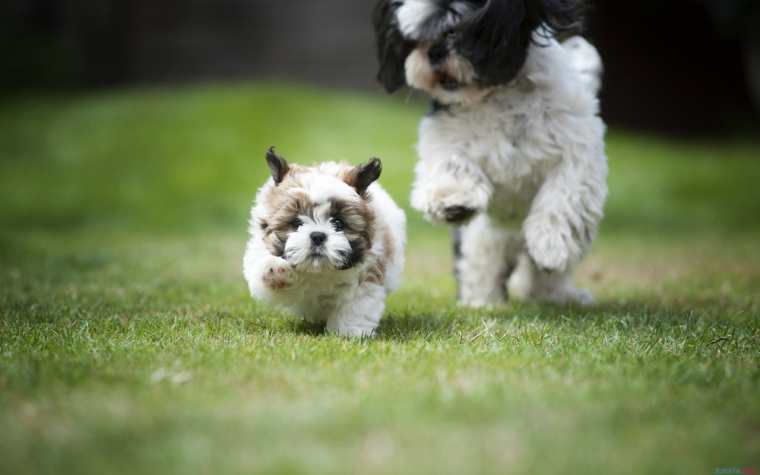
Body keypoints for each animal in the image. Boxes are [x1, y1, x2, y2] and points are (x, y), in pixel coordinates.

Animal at [245, 149, 410, 338]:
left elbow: (356, 305)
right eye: (296, 223)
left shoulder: (367, 274)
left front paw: (350, 332)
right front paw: (274, 269)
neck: (318, 271)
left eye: (338, 223)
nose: (318, 236)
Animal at [372, 0, 608, 306]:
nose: (435, 51)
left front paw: (550, 244)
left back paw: (558, 295)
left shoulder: (577, 145)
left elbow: (564, 194)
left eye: (458, 30)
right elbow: (450, 163)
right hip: (483, 237)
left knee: (544, 276)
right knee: (481, 262)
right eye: (415, 40)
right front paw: (451, 200)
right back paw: (482, 301)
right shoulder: (445, 133)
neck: (496, 96)